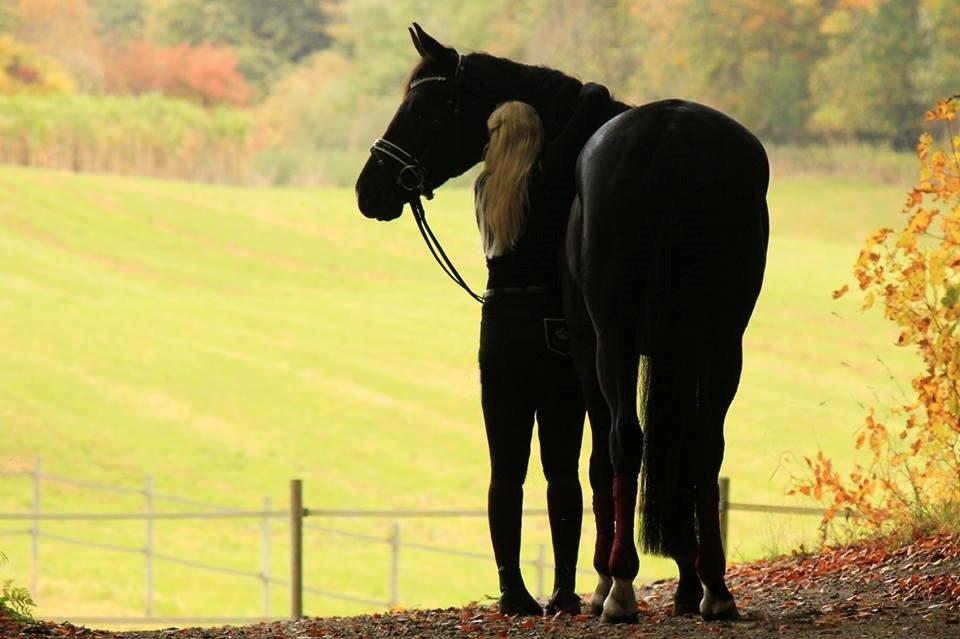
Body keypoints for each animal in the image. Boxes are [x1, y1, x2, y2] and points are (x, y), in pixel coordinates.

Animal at [356, 26, 768, 624]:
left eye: (425, 108)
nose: (370, 189)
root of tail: (672, 140)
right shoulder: (676, 352)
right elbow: (675, 457)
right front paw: (688, 584)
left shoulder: (587, 350)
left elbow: (599, 462)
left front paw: (604, 580)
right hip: (719, 343)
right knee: (702, 447)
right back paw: (714, 588)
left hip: (613, 342)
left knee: (624, 443)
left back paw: (619, 589)